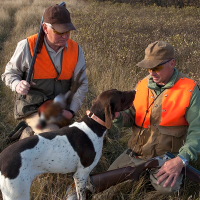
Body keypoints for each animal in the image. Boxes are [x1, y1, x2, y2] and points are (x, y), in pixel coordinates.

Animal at [0, 89, 136, 200]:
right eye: (121, 95)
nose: (134, 91)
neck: (93, 125)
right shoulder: (80, 174)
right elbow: (81, 195)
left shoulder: (83, 174)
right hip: (17, 194)